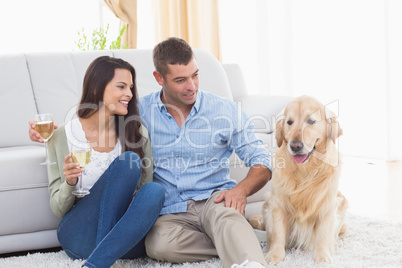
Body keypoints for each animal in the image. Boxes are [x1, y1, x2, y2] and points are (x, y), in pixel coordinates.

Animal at [250, 95, 348, 262]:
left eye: (311, 121)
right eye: (289, 122)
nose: (295, 146)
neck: (305, 171)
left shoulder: (327, 204)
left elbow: (323, 234)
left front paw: (322, 257)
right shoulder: (278, 203)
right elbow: (277, 233)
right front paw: (275, 256)